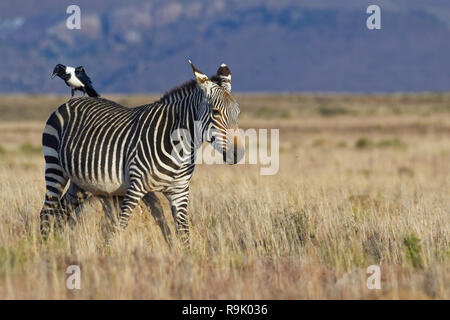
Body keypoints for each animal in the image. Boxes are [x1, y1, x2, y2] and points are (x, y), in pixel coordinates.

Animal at [39, 60, 244, 245]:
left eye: (238, 112)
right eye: (216, 112)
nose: (237, 153)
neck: (180, 149)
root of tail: (72, 101)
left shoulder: (179, 191)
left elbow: (184, 233)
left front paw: (188, 260)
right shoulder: (135, 187)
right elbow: (119, 227)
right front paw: (108, 254)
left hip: (81, 183)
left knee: (61, 211)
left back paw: (57, 243)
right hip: (55, 166)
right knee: (47, 210)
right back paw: (46, 248)